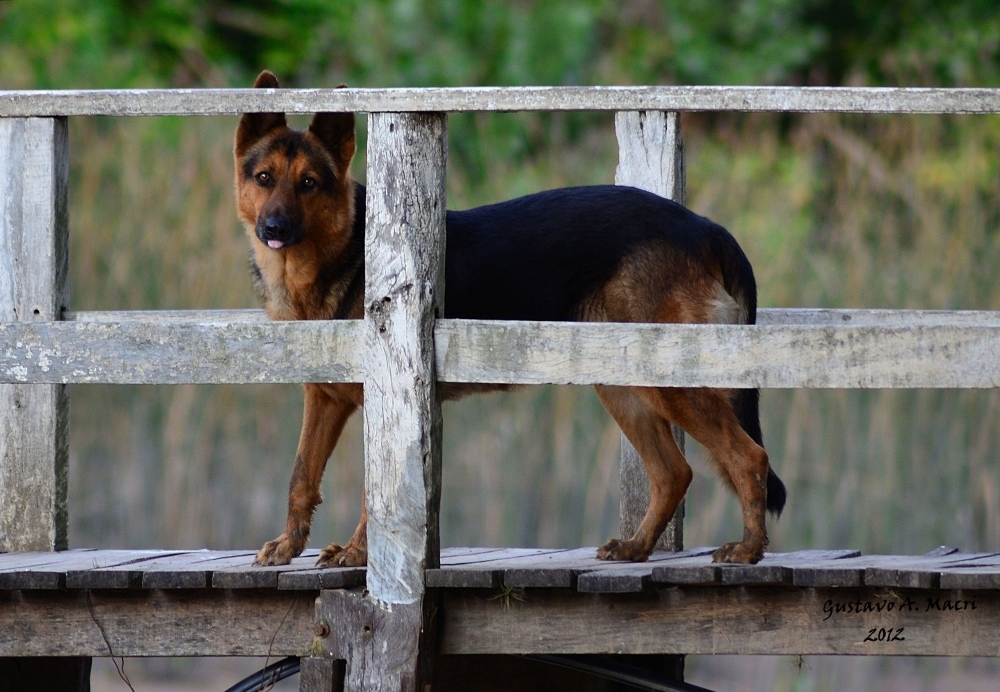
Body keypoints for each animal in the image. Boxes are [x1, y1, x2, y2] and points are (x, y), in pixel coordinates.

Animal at [236, 71, 788, 568]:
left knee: (748, 457)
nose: (273, 228)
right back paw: (636, 547)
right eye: (264, 179)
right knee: (674, 472)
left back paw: (748, 550)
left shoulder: (390, 399)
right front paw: (288, 546)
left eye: (309, 184)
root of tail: (707, 228)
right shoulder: (323, 399)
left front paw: (357, 554)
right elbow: (301, 475)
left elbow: (381, 491)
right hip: (624, 384)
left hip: (672, 380)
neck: (341, 255)